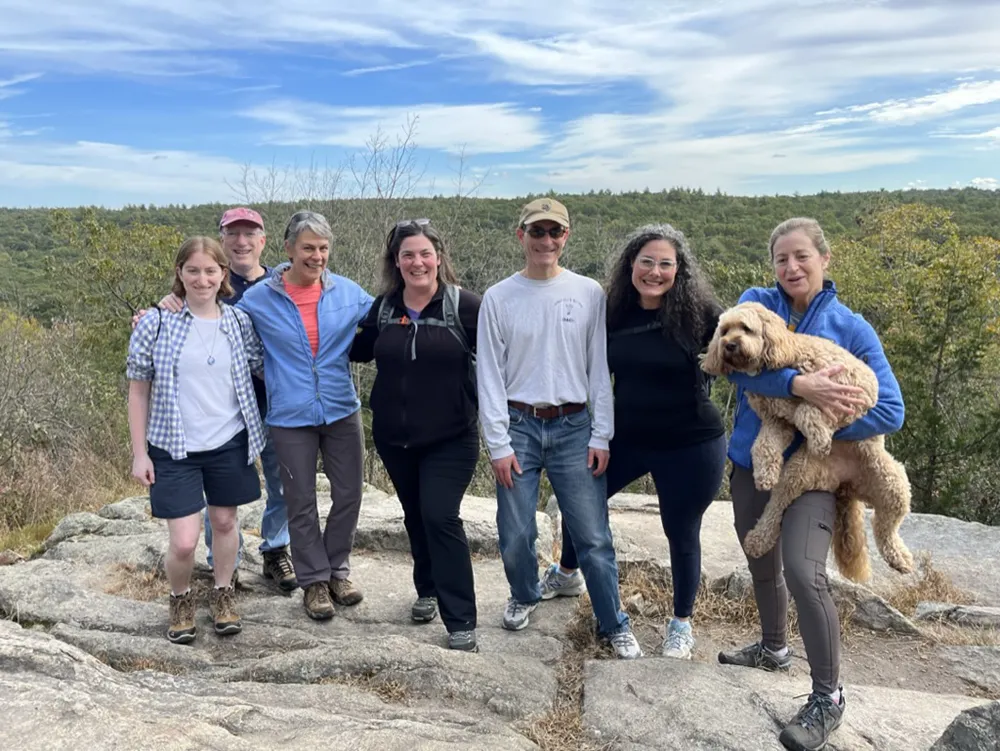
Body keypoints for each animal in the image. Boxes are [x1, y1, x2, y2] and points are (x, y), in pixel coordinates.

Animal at [704, 302, 916, 584]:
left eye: (745, 328)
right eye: (725, 330)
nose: (728, 345)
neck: (788, 358)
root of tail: (845, 485)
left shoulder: (853, 388)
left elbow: (808, 410)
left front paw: (820, 437)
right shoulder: (777, 422)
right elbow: (763, 446)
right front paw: (764, 473)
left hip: (893, 484)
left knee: (886, 529)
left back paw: (900, 558)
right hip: (798, 473)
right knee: (776, 507)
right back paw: (758, 539)